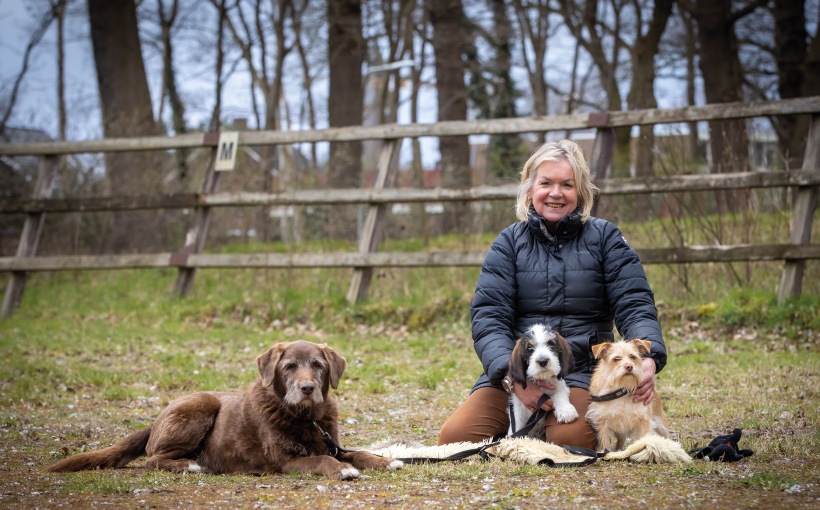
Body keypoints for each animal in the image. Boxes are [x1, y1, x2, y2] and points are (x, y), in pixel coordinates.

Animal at [45, 340, 404, 480]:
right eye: (289, 366)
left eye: (318, 365)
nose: (307, 388)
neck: (304, 417)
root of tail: (155, 420)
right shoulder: (287, 461)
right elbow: (323, 460)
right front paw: (343, 471)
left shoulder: (331, 442)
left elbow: (358, 453)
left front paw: (386, 461)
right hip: (200, 405)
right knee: (152, 458)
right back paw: (190, 465)